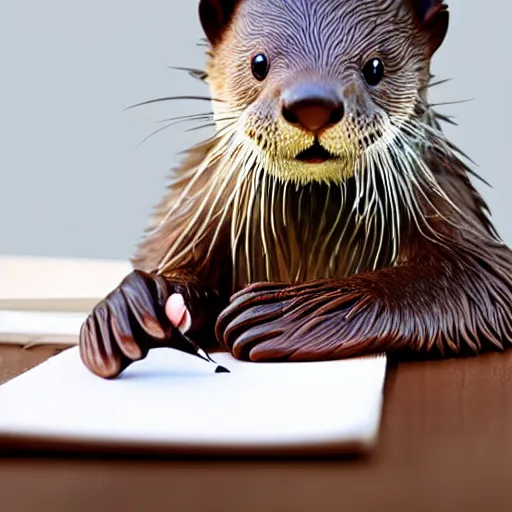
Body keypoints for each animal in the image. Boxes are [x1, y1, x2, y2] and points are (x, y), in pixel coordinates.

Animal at [79, 0, 512, 378]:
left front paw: (280, 312)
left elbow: (485, 280)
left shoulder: (447, 194)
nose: (312, 105)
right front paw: (131, 307)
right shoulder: (197, 207)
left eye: (375, 67)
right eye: (259, 63)